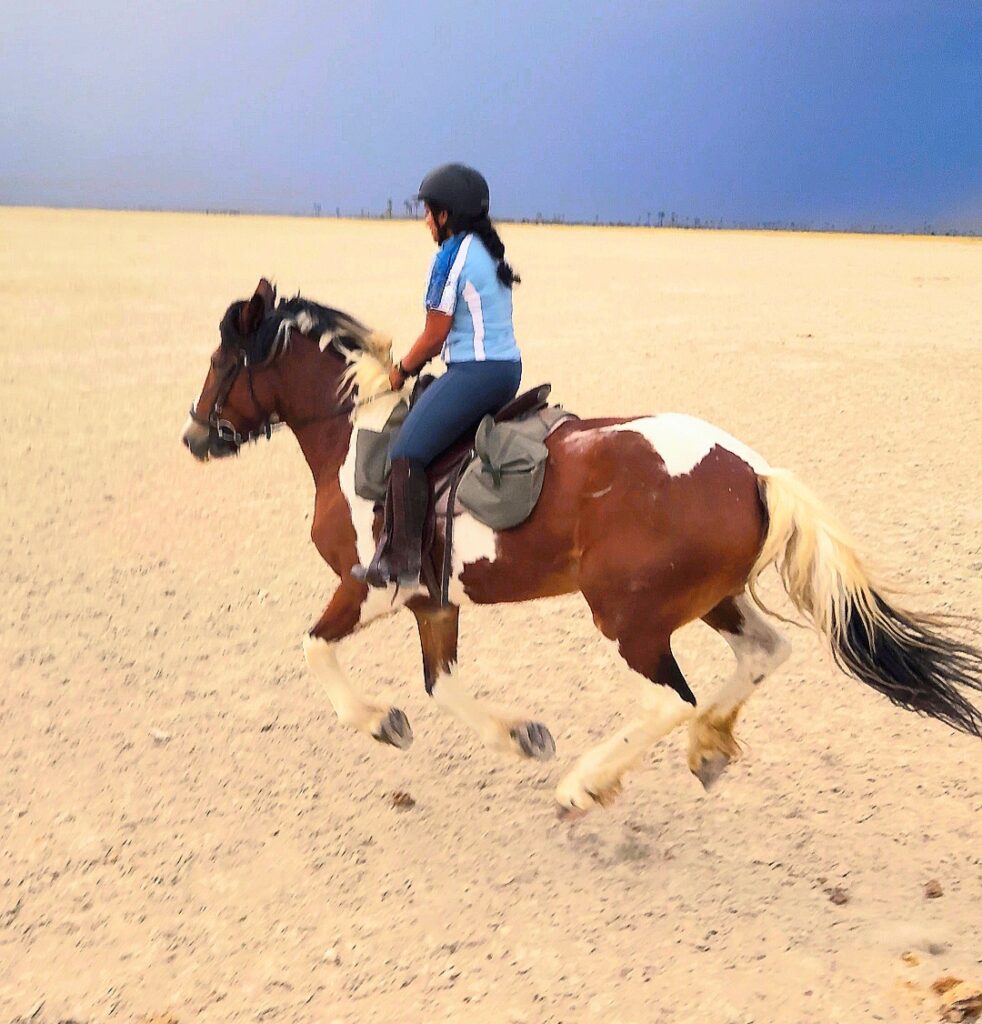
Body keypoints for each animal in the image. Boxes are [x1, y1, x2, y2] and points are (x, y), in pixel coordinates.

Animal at [180, 280, 978, 815]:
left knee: (668, 699)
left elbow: (316, 648)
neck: (357, 433)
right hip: (705, 600)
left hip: (629, 615)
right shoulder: (434, 601)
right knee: (762, 653)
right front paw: (519, 735)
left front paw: (382, 723)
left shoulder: (372, 583)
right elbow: (443, 684)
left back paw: (585, 786)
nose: (194, 435)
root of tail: (754, 472)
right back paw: (707, 749)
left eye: (221, 362)